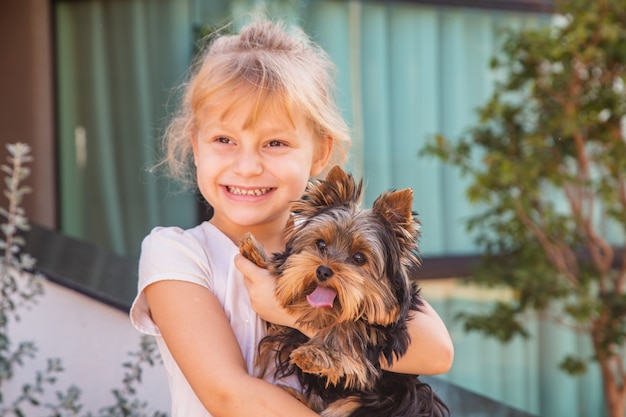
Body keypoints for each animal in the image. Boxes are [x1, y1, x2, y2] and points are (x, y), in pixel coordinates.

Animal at [236, 166, 446, 416]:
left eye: (359, 258)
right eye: (320, 244)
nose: (323, 270)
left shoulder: (389, 330)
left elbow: (351, 326)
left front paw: (315, 355)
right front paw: (259, 257)